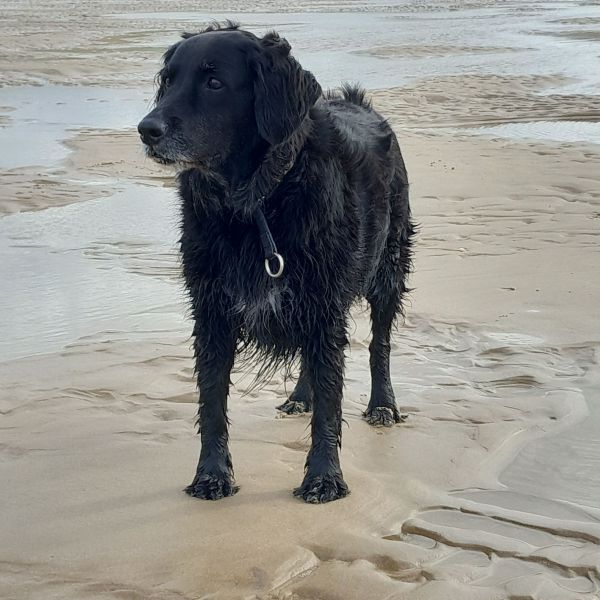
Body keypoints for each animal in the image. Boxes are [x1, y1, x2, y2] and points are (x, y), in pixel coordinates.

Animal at [139, 22, 412, 502]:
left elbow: (331, 400)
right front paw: (211, 475)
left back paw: (383, 405)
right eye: (168, 80)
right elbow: (212, 401)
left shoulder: (325, 303)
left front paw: (323, 478)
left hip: (388, 268)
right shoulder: (212, 310)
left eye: (214, 82)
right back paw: (300, 396)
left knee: (379, 343)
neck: (256, 202)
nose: (146, 129)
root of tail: (360, 103)